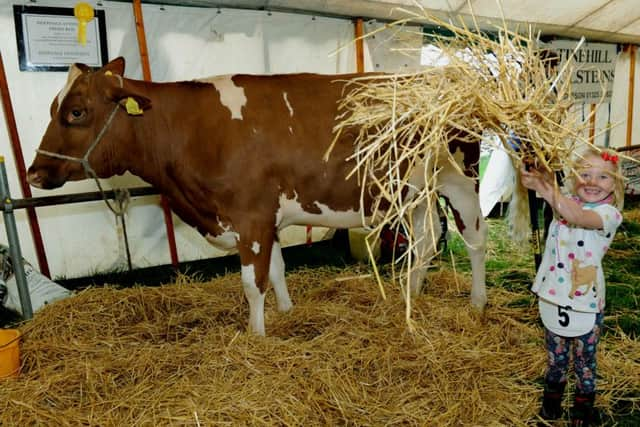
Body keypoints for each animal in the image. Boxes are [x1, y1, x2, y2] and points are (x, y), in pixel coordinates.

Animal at [25, 57, 484, 338]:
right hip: (415, 190)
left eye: (77, 112)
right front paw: (286, 314)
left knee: (474, 239)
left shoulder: (250, 218)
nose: (33, 173)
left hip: (461, 180)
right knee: (425, 241)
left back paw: (478, 304)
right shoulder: (267, 218)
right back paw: (413, 295)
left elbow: (253, 283)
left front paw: (256, 335)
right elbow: (277, 272)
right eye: (51, 109)